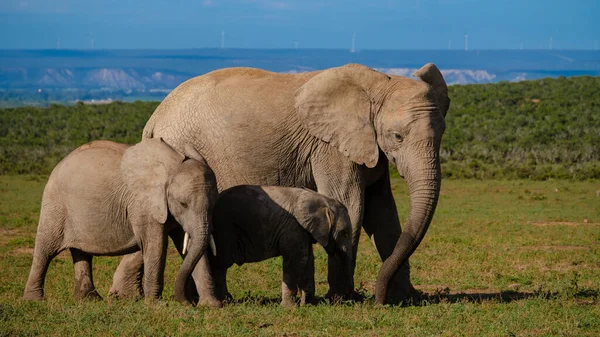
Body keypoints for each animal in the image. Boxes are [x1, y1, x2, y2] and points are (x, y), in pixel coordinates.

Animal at [24, 137, 220, 304]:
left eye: (213, 205)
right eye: (183, 203)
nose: (187, 302)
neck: (171, 166)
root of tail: (58, 164)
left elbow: (189, 244)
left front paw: (210, 305)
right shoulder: (142, 203)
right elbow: (156, 245)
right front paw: (156, 304)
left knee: (81, 252)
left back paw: (89, 300)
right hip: (55, 204)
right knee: (45, 250)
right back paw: (35, 300)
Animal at [209, 185, 354, 306]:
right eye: (344, 233)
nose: (348, 298)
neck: (322, 200)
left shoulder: (303, 230)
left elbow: (307, 260)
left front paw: (307, 304)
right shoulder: (293, 227)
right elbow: (297, 260)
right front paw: (290, 307)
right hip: (225, 230)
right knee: (221, 264)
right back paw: (225, 300)